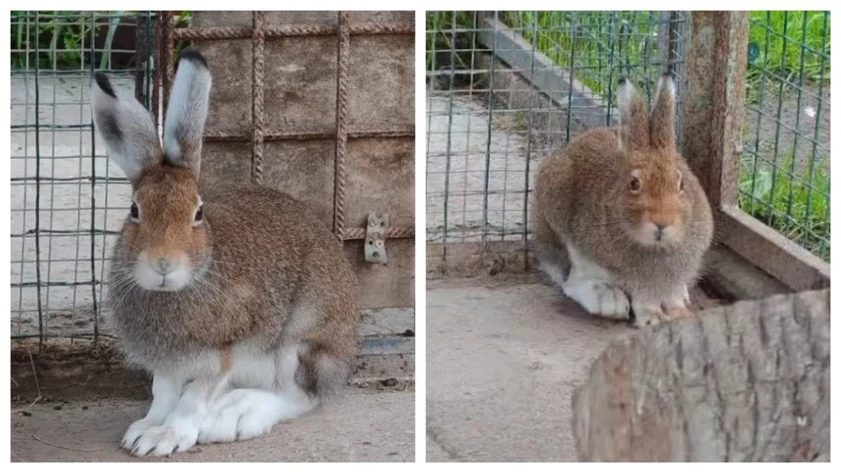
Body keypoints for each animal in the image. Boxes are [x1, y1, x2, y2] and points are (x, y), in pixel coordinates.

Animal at [91, 49, 360, 457]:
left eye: (198, 213)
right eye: (135, 210)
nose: (163, 264)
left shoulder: (225, 349)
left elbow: (192, 399)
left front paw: (168, 437)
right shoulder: (167, 362)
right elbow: (163, 393)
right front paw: (145, 431)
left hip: (299, 341)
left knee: (297, 396)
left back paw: (233, 417)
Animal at [533, 73, 713, 327]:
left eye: (681, 184)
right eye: (634, 184)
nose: (662, 222)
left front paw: (677, 312)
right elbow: (643, 299)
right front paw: (653, 319)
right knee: (572, 282)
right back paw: (608, 300)